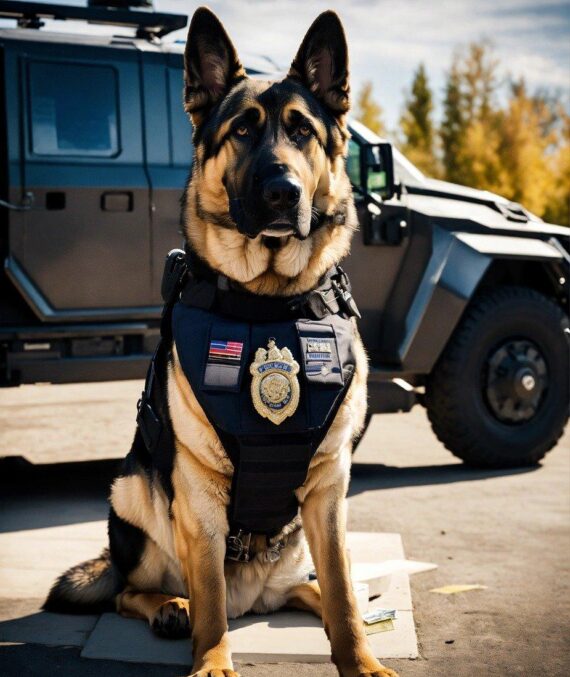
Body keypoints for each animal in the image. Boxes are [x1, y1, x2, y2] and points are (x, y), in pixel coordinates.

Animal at [44, 9, 398, 676]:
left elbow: (341, 590)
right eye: (242, 130)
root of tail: (252, 598)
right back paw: (168, 606)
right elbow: (206, 593)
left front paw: (360, 660)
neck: (270, 300)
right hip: (135, 490)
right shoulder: (201, 492)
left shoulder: (329, 491)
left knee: (316, 588)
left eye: (302, 131)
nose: (284, 192)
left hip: (293, 550)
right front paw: (211, 660)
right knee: (135, 587)